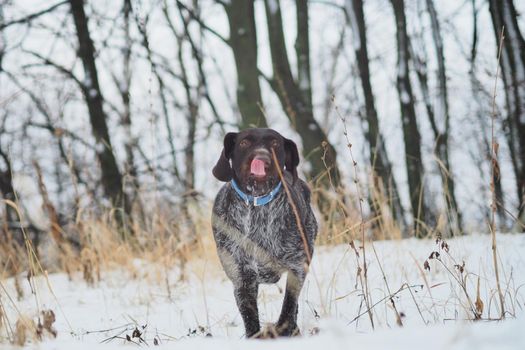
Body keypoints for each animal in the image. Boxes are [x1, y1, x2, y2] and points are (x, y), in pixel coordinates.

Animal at [211, 128, 318, 336]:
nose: (262, 158)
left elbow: (288, 308)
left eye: (275, 143)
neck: (256, 208)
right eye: (244, 142)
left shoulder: (297, 267)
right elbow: (251, 319)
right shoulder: (241, 277)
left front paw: (282, 330)